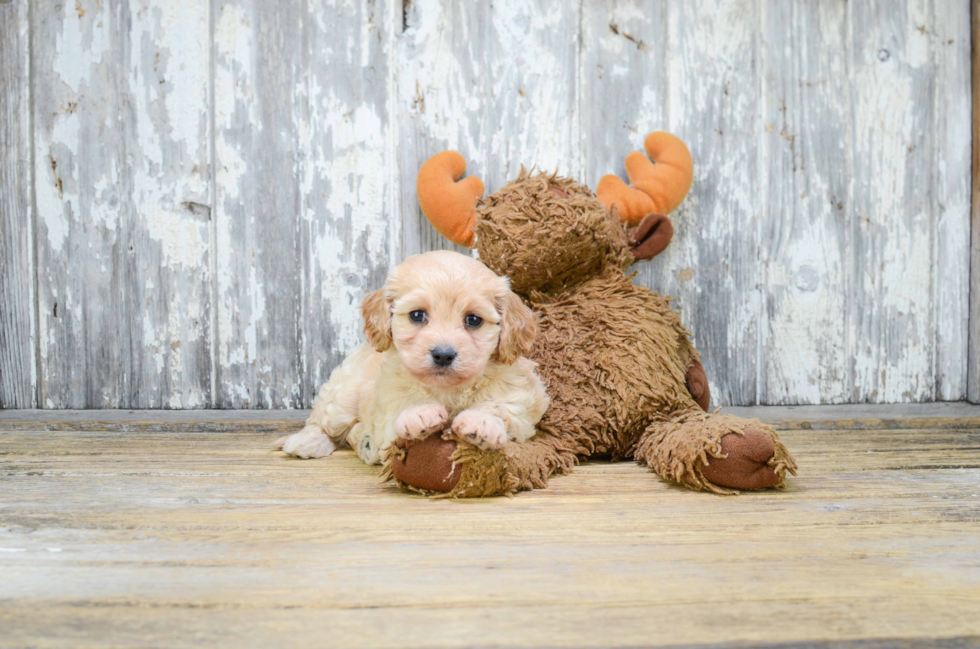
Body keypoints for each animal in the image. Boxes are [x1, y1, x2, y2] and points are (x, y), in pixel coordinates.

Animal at [276, 249, 548, 466]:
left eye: (473, 320)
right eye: (417, 315)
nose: (443, 355)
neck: (447, 389)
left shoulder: (521, 398)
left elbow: (500, 405)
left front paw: (481, 422)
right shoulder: (387, 401)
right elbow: (404, 401)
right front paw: (420, 412)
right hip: (343, 394)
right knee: (323, 422)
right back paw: (307, 442)